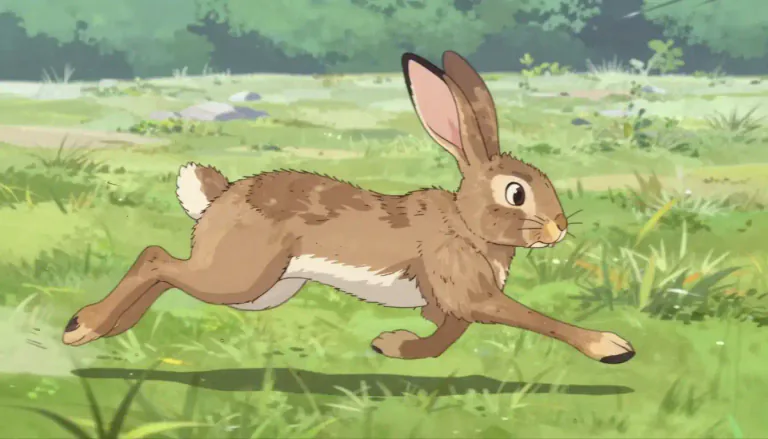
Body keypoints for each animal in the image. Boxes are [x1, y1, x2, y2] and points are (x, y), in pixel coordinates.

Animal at [62, 51, 635, 364]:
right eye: (516, 193)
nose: (559, 228)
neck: (467, 224)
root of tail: (217, 199)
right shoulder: (468, 291)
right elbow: (532, 318)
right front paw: (611, 346)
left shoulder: (451, 303)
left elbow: (447, 335)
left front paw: (394, 347)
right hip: (240, 275)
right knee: (156, 258)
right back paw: (83, 326)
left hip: (263, 292)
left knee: (162, 267)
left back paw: (104, 327)